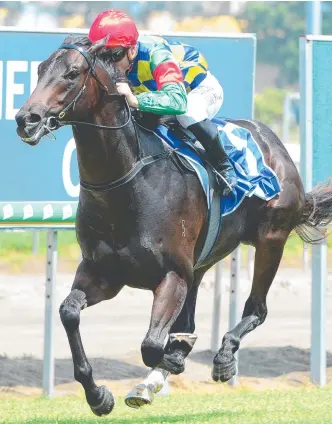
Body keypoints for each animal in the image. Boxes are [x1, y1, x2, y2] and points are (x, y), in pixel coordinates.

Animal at [15, 35, 332, 414]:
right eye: (39, 69)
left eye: (73, 73)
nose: (26, 118)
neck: (128, 183)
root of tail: (275, 144)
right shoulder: (103, 273)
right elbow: (69, 312)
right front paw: (99, 395)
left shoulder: (172, 275)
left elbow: (152, 345)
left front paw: (174, 361)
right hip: (202, 262)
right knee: (190, 319)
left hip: (272, 239)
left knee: (257, 308)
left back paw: (223, 359)